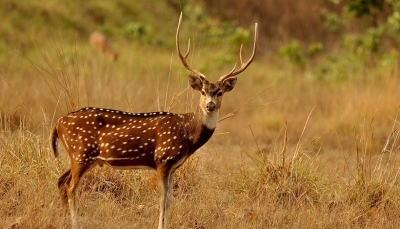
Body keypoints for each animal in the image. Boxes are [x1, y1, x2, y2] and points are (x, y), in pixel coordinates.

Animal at [51, 14, 258, 229]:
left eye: (219, 92)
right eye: (202, 91)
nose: (210, 105)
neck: (187, 134)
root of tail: (58, 124)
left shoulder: (174, 166)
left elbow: (171, 199)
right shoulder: (163, 158)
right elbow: (162, 199)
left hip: (84, 157)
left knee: (61, 181)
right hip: (81, 153)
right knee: (70, 187)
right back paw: (75, 223)